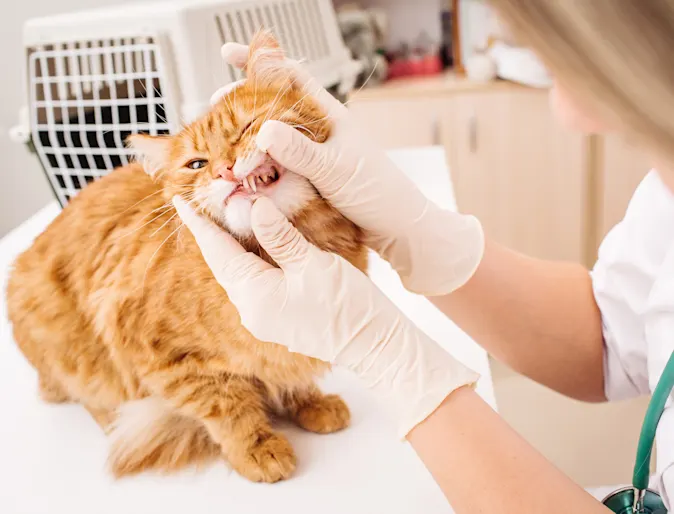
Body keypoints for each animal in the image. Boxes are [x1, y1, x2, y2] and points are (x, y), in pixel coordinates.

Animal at [5, 31, 364, 480]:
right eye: (197, 164)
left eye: (247, 128)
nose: (225, 170)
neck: (278, 261)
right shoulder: (166, 359)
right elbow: (227, 407)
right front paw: (257, 447)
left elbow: (290, 374)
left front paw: (309, 402)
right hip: (76, 362)